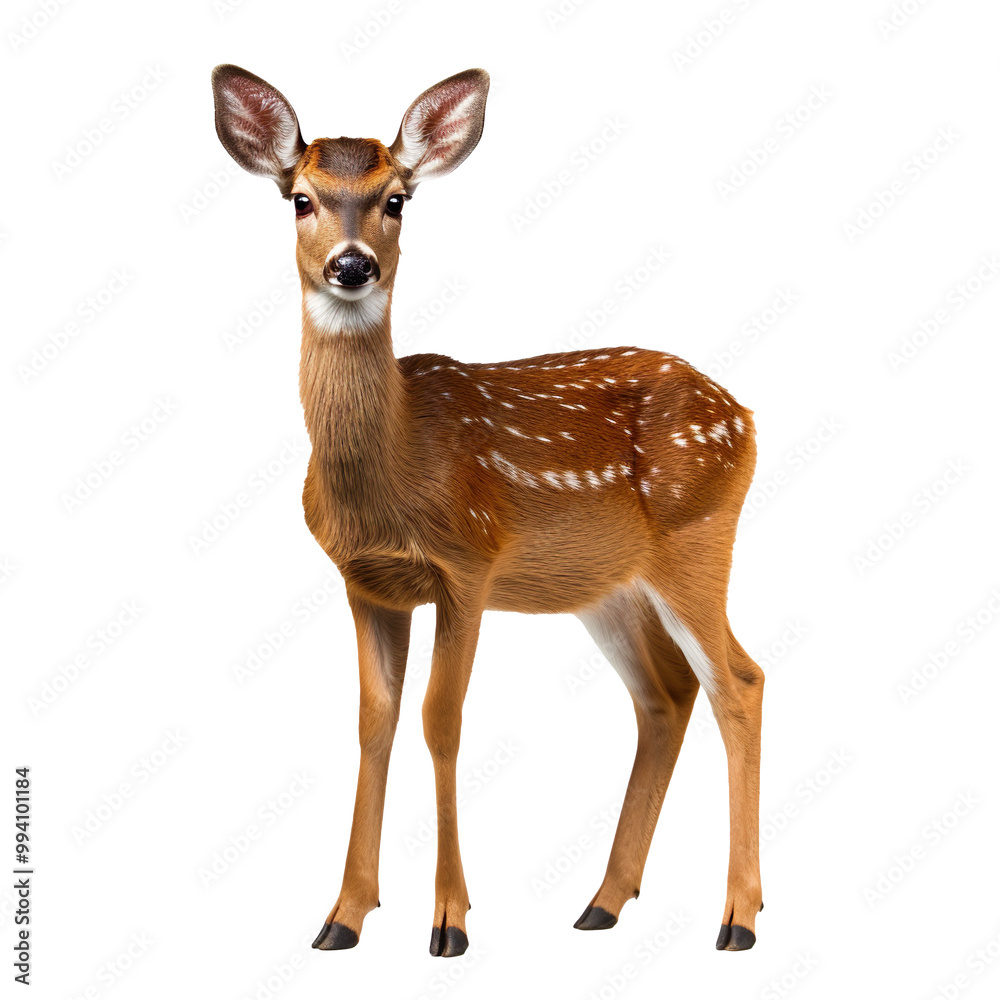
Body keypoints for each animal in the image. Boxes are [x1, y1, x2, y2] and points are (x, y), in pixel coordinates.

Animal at [211, 64, 765, 959]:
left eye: (398, 199)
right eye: (299, 198)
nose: (353, 265)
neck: (396, 467)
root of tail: (745, 415)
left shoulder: (468, 565)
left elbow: (442, 721)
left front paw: (449, 921)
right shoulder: (365, 584)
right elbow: (373, 723)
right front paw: (343, 915)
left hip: (699, 538)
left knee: (738, 682)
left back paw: (737, 917)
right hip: (606, 586)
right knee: (666, 694)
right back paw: (603, 901)